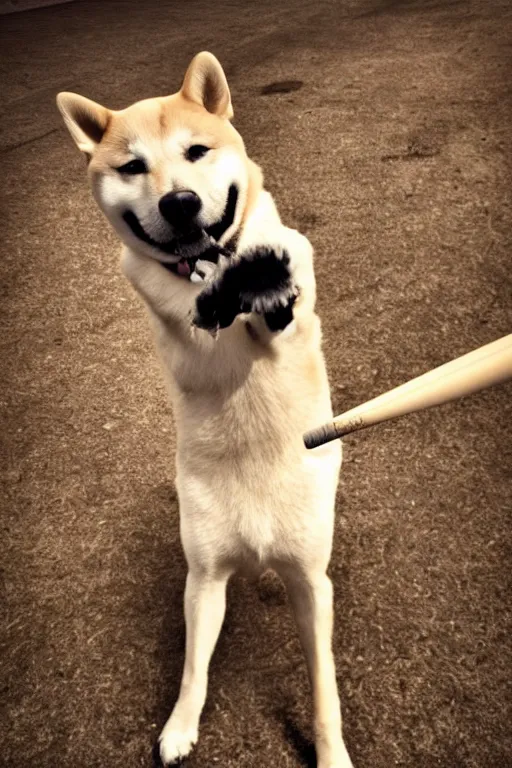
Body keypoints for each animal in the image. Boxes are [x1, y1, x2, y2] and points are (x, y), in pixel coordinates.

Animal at [56, 51, 352, 764]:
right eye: (132, 166)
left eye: (197, 151)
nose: (181, 201)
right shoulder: (205, 583)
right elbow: (195, 667)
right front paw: (181, 726)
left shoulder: (312, 589)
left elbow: (323, 688)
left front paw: (331, 751)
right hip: (207, 563)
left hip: (307, 557)